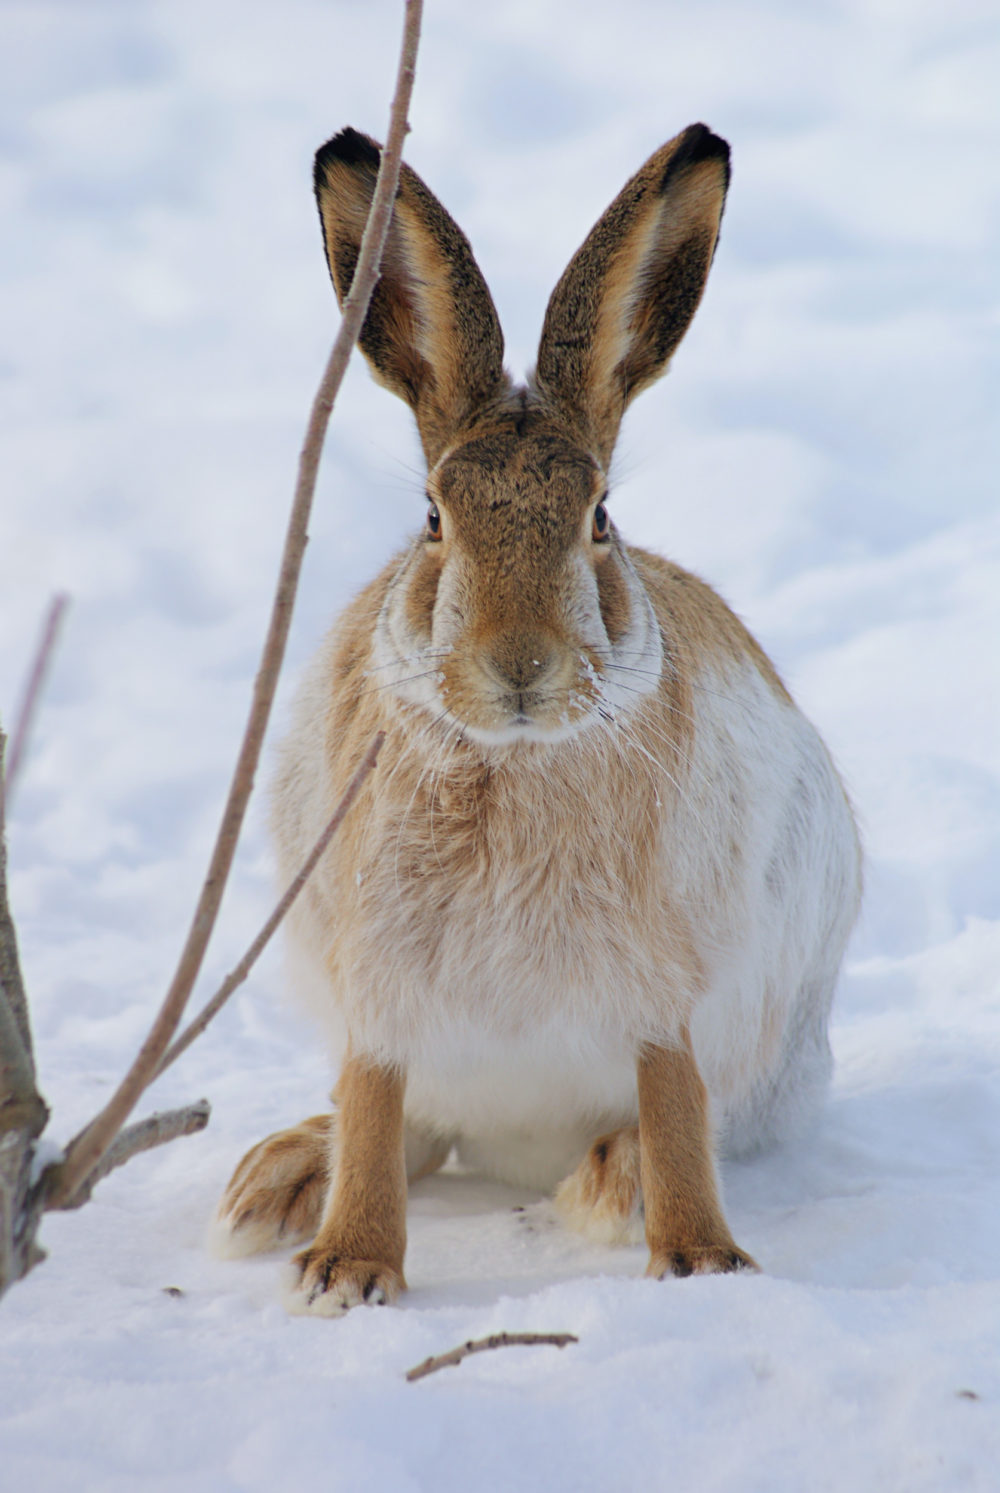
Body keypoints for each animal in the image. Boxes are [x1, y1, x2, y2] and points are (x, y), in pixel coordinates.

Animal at [212, 123, 862, 1315]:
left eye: (599, 514)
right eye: (433, 516)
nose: (519, 664)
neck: (511, 756)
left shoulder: (663, 986)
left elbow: (673, 1098)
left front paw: (700, 1258)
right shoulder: (378, 978)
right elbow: (374, 1098)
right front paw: (346, 1268)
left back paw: (606, 1184)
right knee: (410, 1127)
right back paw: (282, 1178)